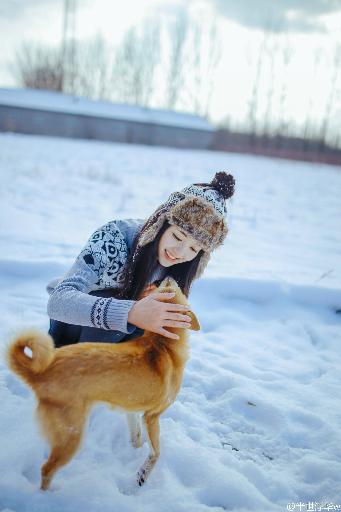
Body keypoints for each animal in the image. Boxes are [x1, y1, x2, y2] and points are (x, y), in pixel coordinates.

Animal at [5, 278, 199, 490]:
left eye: (163, 288)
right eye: (169, 288)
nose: (164, 278)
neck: (161, 343)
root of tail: (41, 372)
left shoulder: (132, 410)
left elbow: (136, 437)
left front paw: (135, 449)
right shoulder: (152, 416)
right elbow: (156, 452)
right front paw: (142, 474)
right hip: (71, 435)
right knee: (46, 469)